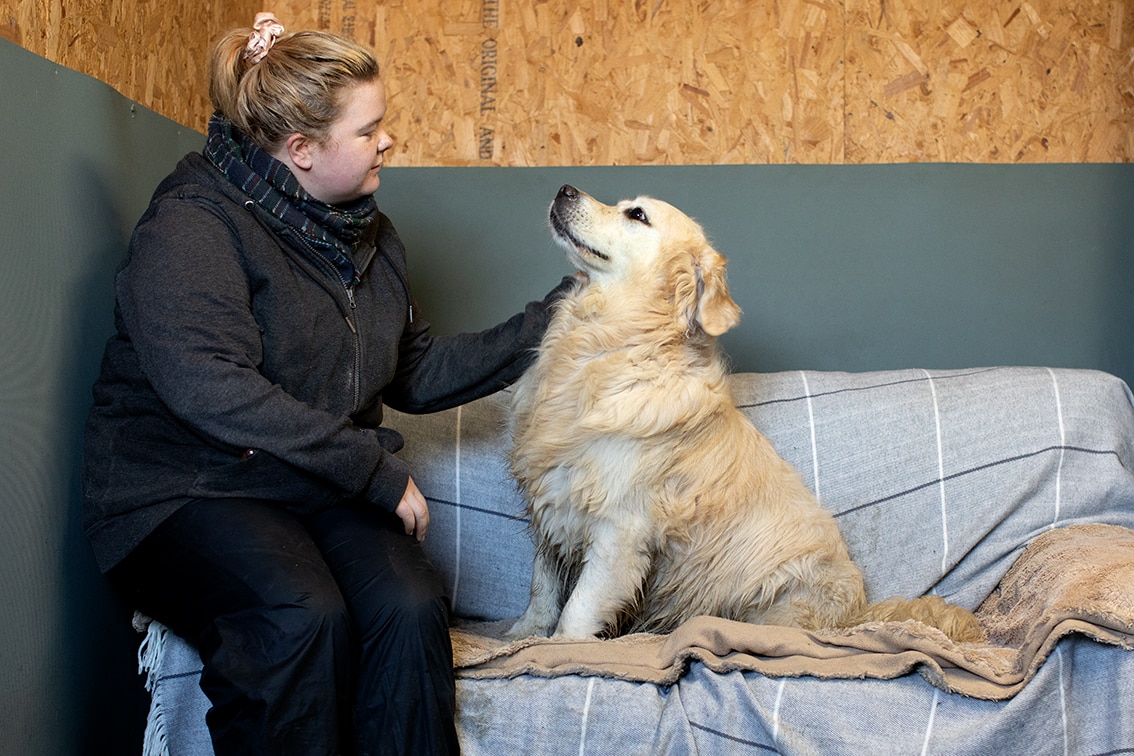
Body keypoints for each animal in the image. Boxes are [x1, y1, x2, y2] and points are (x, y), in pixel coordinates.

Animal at [505, 183, 984, 643]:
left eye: (637, 214)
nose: (565, 188)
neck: (608, 346)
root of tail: (855, 615)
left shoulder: (619, 529)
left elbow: (578, 607)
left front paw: (557, 648)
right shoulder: (552, 498)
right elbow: (541, 586)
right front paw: (522, 635)